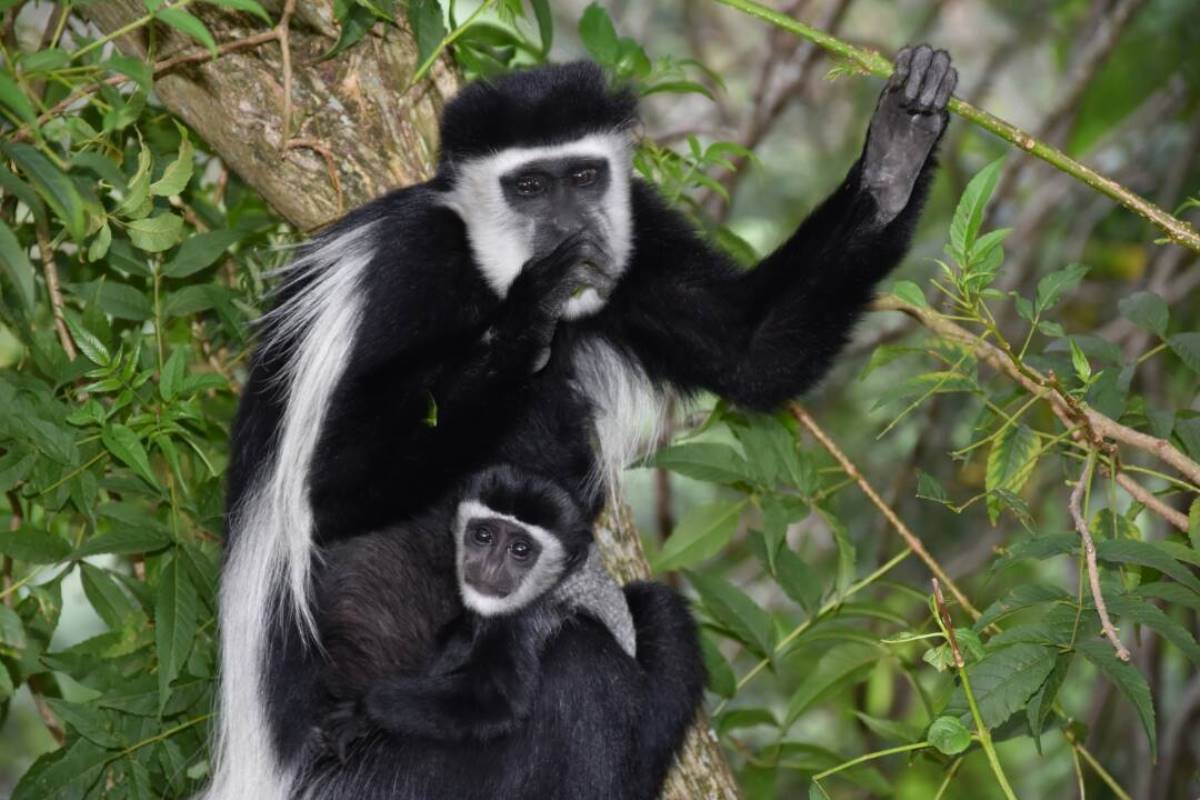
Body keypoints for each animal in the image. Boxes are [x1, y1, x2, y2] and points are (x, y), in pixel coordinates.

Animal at [300, 465, 705, 796]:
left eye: (520, 550)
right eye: (483, 536)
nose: (489, 566)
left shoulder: (522, 621)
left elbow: (493, 700)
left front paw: (362, 711)